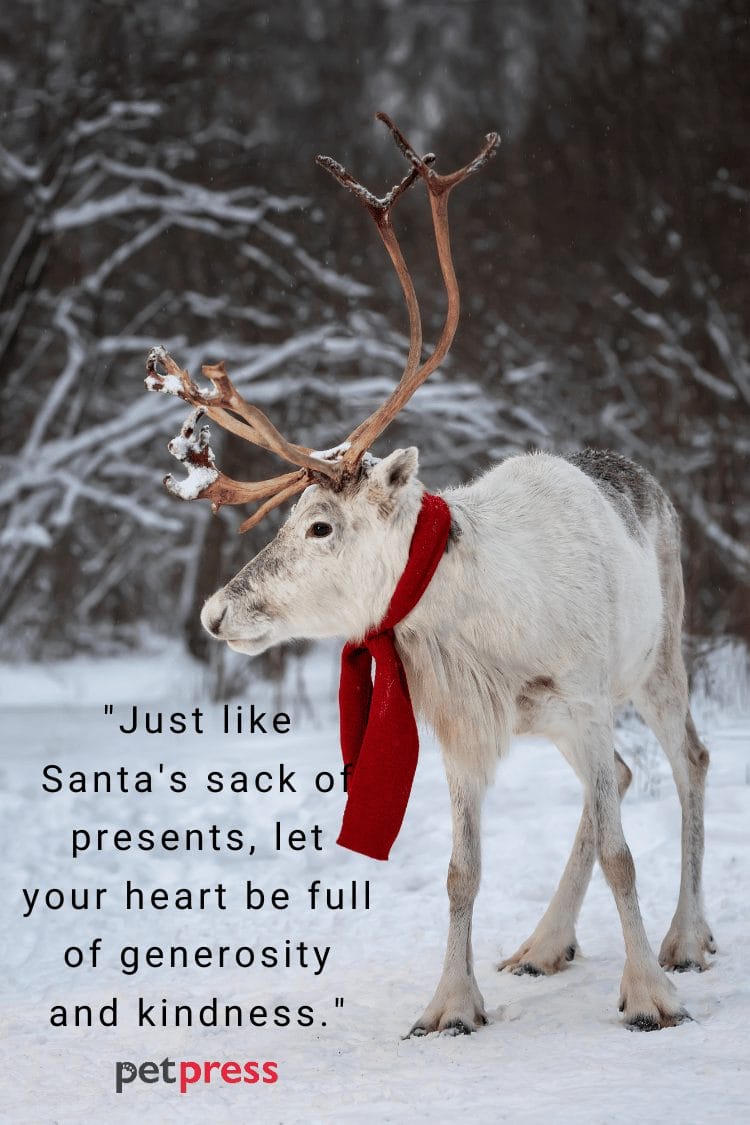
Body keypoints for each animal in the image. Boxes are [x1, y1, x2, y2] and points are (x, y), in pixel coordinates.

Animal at [145, 114, 715, 1036]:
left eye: (321, 523)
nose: (214, 613)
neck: (483, 626)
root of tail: (646, 477)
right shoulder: (462, 726)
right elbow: (460, 870)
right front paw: (450, 1003)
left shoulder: (588, 697)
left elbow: (623, 850)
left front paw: (650, 995)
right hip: (566, 720)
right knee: (626, 780)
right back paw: (543, 942)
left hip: (657, 661)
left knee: (688, 761)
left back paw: (687, 937)